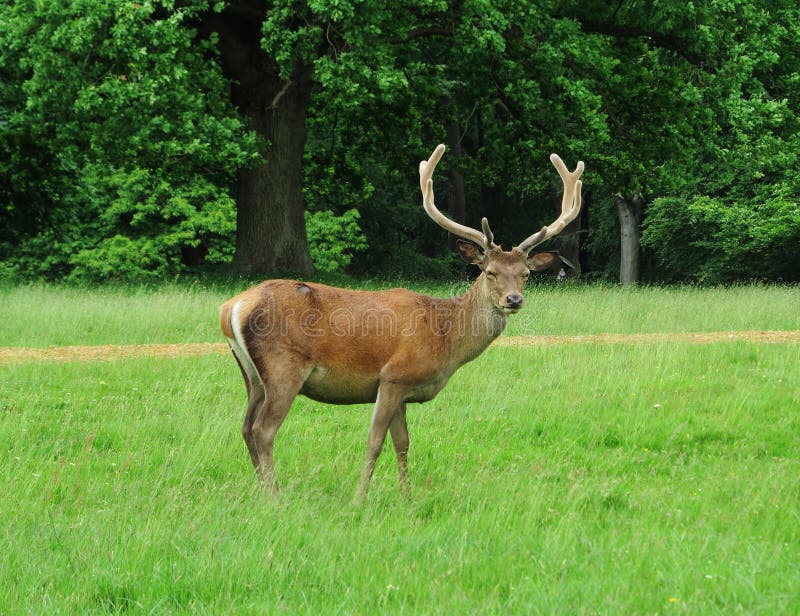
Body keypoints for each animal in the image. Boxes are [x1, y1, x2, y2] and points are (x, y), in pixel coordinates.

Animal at [219, 144, 580, 500]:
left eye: (525, 274)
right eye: (489, 272)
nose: (513, 300)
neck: (446, 337)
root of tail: (232, 307)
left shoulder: (403, 390)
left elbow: (403, 443)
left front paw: (407, 498)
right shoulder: (394, 376)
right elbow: (375, 441)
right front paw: (359, 499)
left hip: (252, 375)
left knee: (246, 427)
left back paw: (262, 491)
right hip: (284, 365)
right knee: (263, 429)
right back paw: (275, 498)